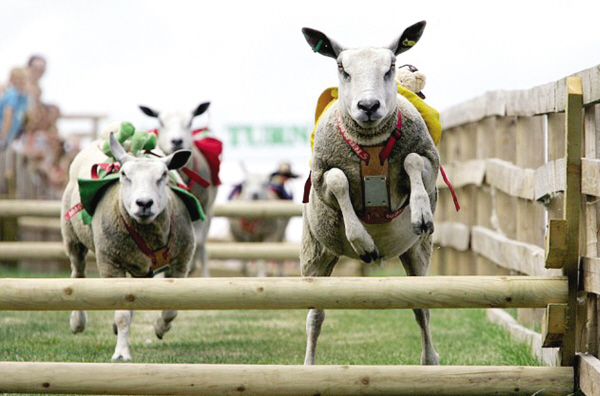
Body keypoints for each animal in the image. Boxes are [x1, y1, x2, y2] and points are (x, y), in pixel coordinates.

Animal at [62, 124, 200, 362]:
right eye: (124, 174)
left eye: (163, 175)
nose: (144, 203)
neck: (147, 232)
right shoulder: (110, 265)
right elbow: (122, 314)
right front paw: (121, 353)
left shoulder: (182, 260)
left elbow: (171, 308)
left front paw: (160, 328)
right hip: (72, 237)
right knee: (77, 276)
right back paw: (77, 323)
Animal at [139, 103, 221, 276]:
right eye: (161, 122)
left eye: (190, 122)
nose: (177, 141)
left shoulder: (202, 211)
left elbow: (197, 243)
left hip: (209, 212)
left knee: (203, 248)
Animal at [300, 21, 440, 366]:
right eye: (342, 68)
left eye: (390, 66)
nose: (368, 106)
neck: (370, 142)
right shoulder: (322, 179)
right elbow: (338, 181)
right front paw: (363, 241)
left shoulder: (429, 161)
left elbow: (413, 160)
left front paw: (420, 211)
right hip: (316, 252)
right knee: (314, 316)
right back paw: (307, 367)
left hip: (417, 251)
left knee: (422, 309)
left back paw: (430, 361)